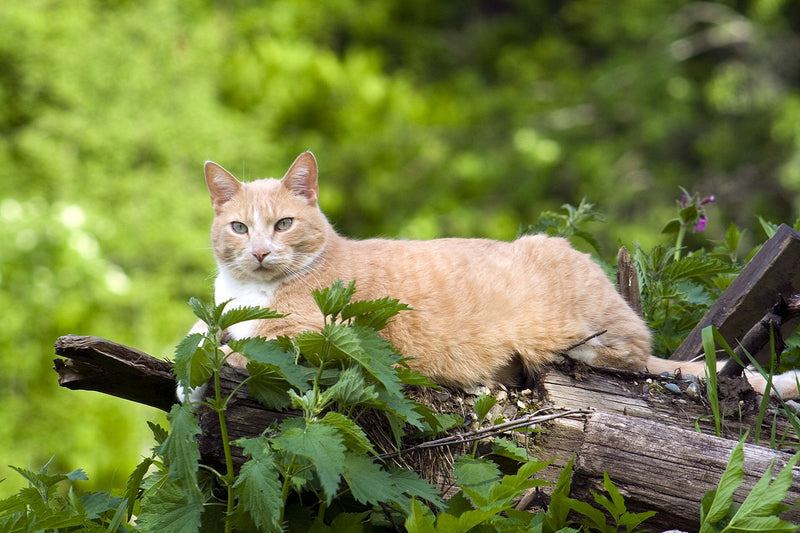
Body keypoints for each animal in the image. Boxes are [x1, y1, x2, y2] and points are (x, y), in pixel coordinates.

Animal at [197, 152, 796, 396]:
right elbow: (203, 332)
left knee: (626, 353)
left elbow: (253, 344)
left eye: (283, 224)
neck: (250, 288)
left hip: (579, 331)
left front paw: (224, 358)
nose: (259, 253)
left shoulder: (324, 333)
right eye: (239, 229)